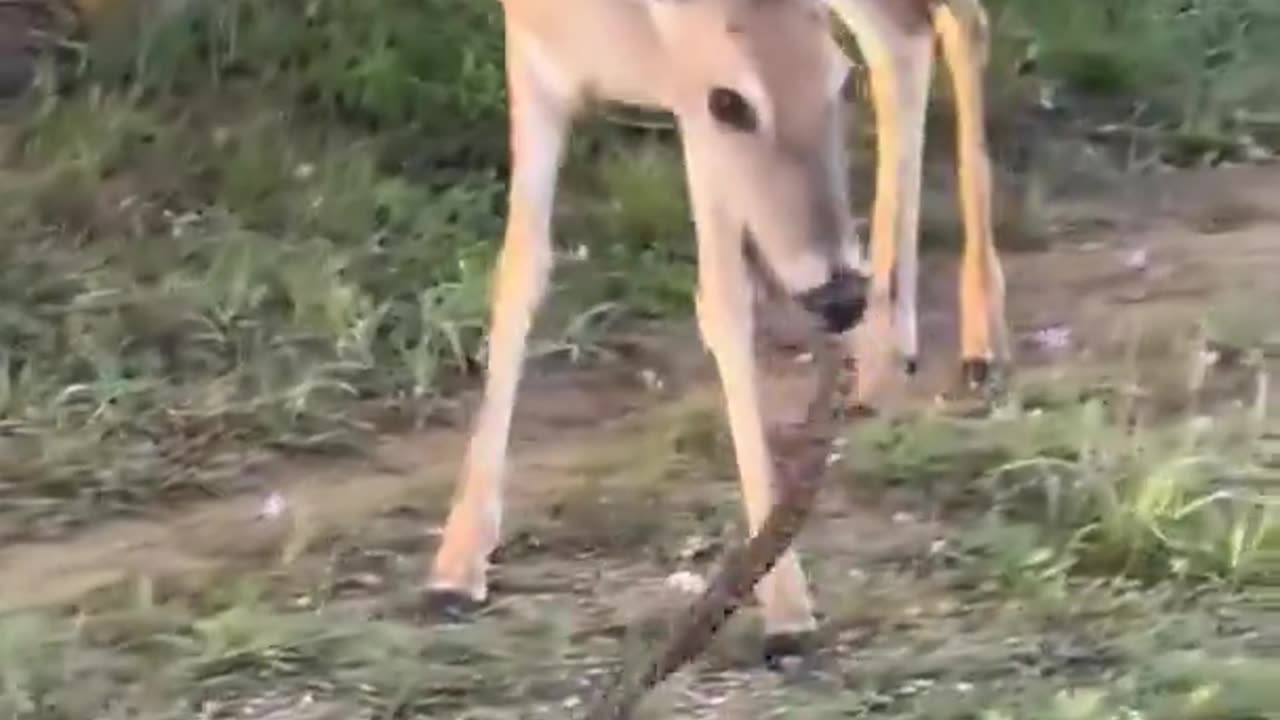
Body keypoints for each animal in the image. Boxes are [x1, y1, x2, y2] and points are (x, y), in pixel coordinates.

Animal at [424, 0, 1003, 661]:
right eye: (730, 102)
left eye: (836, 84)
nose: (837, 296)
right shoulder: (539, 63)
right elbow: (520, 269)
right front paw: (457, 566)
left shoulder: (689, 111)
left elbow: (724, 303)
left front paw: (785, 608)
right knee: (908, 37)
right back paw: (883, 357)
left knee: (950, 25)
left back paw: (976, 340)